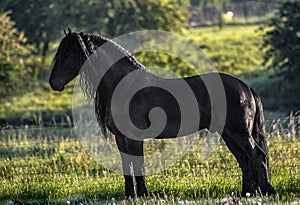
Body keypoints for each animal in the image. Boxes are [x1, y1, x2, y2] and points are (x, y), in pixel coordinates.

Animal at [49, 28, 276, 197]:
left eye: (67, 54)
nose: (53, 83)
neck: (125, 86)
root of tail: (246, 87)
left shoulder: (133, 138)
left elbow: (138, 165)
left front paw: (143, 194)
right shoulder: (121, 139)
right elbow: (127, 166)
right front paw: (130, 195)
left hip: (239, 133)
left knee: (257, 155)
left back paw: (268, 191)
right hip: (229, 135)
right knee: (245, 161)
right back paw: (247, 193)